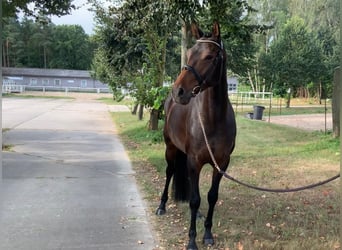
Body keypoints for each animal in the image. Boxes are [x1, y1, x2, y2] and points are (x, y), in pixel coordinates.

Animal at [156, 22, 236, 249]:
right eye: (190, 53)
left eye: (209, 56)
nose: (178, 91)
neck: (213, 120)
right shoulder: (194, 162)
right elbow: (194, 199)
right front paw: (191, 240)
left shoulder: (222, 164)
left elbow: (211, 197)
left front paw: (207, 233)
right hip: (170, 148)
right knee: (170, 172)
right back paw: (162, 206)